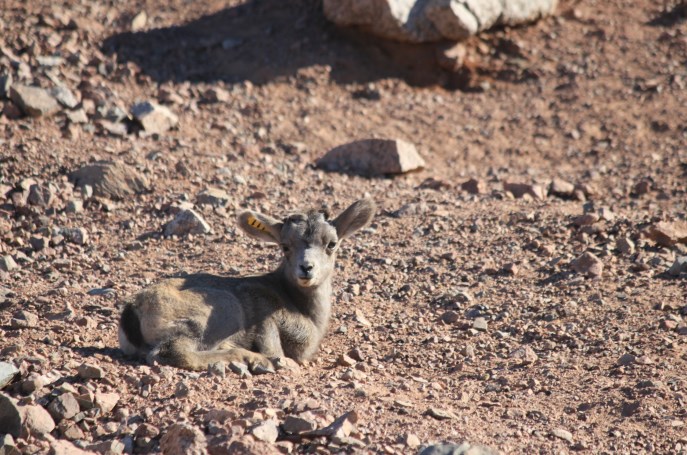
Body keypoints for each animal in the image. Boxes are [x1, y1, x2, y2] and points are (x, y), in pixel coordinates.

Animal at [118, 200, 376, 374]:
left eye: (331, 244)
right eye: (285, 246)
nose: (306, 268)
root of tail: (133, 309)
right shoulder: (264, 316)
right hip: (221, 312)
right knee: (172, 352)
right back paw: (248, 358)